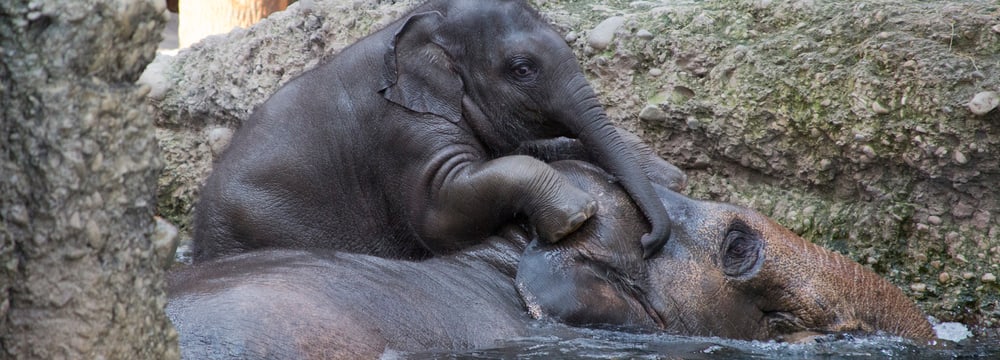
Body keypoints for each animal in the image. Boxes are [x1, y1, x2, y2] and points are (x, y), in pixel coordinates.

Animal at [189, 0, 672, 262]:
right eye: (522, 69)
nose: (648, 241)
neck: (418, 19)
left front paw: (667, 175)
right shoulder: (402, 130)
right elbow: (439, 213)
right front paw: (576, 214)